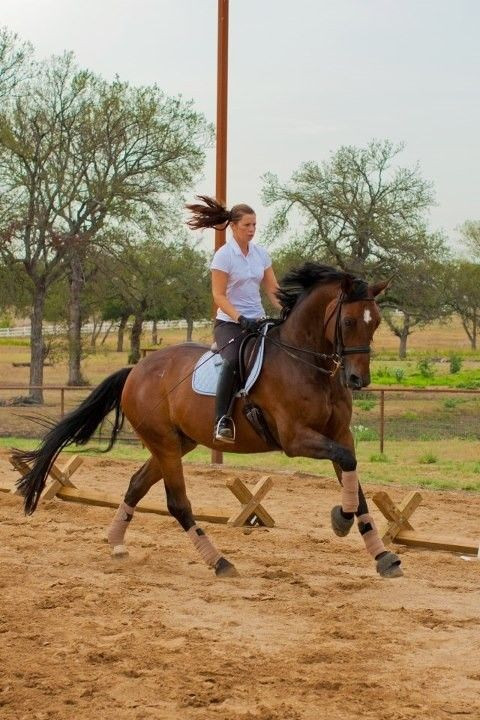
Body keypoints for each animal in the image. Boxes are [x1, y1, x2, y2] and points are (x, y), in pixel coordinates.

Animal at [15, 264, 404, 580]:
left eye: (375, 322)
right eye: (349, 321)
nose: (358, 380)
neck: (308, 365)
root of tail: (136, 371)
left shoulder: (339, 434)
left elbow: (354, 478)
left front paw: (382, 555)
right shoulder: (295, 439)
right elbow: (346, 463)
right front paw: (341, 518)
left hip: (176, 443)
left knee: (137, 484)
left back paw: (115, 542)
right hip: (165, 444)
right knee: (177, 503)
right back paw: (219, 562)